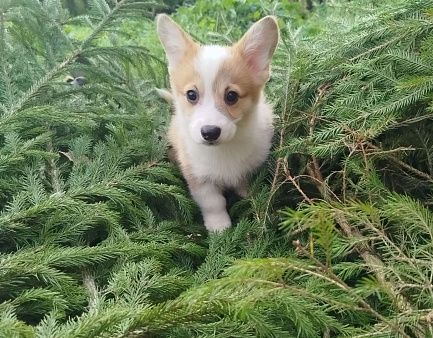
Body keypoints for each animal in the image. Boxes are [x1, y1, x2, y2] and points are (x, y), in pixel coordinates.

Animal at [157, 14, 278, 231]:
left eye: (231, 96)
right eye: (191, 94)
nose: (210, 132)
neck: (224, 150)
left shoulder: (251, 169)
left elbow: (246, 189)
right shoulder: (199, 179)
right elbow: (213, 203)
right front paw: (220, 228)